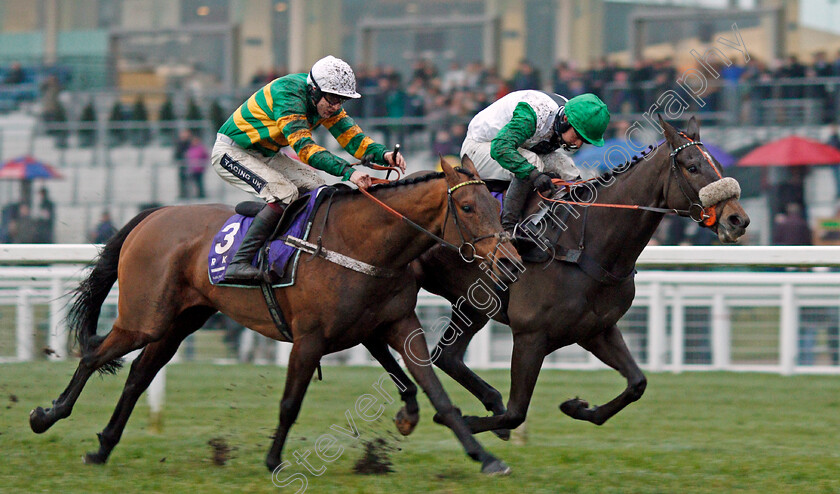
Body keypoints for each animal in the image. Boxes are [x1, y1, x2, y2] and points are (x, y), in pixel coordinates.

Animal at [27, 158, 520, 474]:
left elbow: (436, 393)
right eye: (469, 207)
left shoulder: (397, 324)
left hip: (177, 323)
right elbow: (290, 402)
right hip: (143, 318)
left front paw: (485, 457)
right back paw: (47, 416)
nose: (511, 260)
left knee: (137, 377)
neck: (363, 244)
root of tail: (153, 215)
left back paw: (103, 446)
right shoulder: (310, 338)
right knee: (94, 356)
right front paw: (273, 460)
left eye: (495, 205)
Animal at [388, 117, 748, 438]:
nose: (738, 220)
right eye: (692, 166)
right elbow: (516, 413)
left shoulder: (596, 329)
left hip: (475, 305)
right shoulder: (531, 334)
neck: (585, 243)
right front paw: (464, 421)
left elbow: (637, 383)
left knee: (446, 356)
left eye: (717, 163)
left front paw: (576, 407)